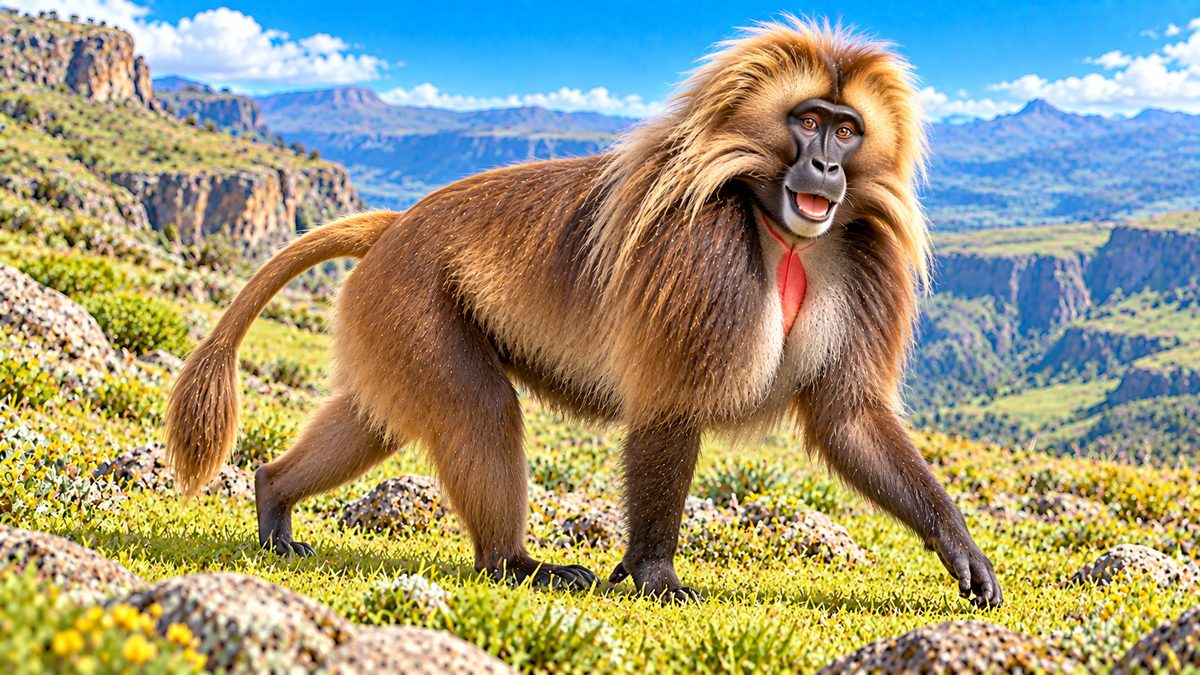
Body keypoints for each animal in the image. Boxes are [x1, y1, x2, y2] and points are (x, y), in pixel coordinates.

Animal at [165, 18, 1002, 609]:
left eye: (848, 128)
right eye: (809, 120)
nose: (827, 166)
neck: (779, 231)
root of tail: (399, 221)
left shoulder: (859, 262)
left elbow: (847, 416)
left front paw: (959, 547)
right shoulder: (701, 258)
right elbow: (670, 410)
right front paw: (654, 572)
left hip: (388, 314)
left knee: (373, 417)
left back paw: (274, 497)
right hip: (414, 298)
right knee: (478, 409)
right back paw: (514, 563)